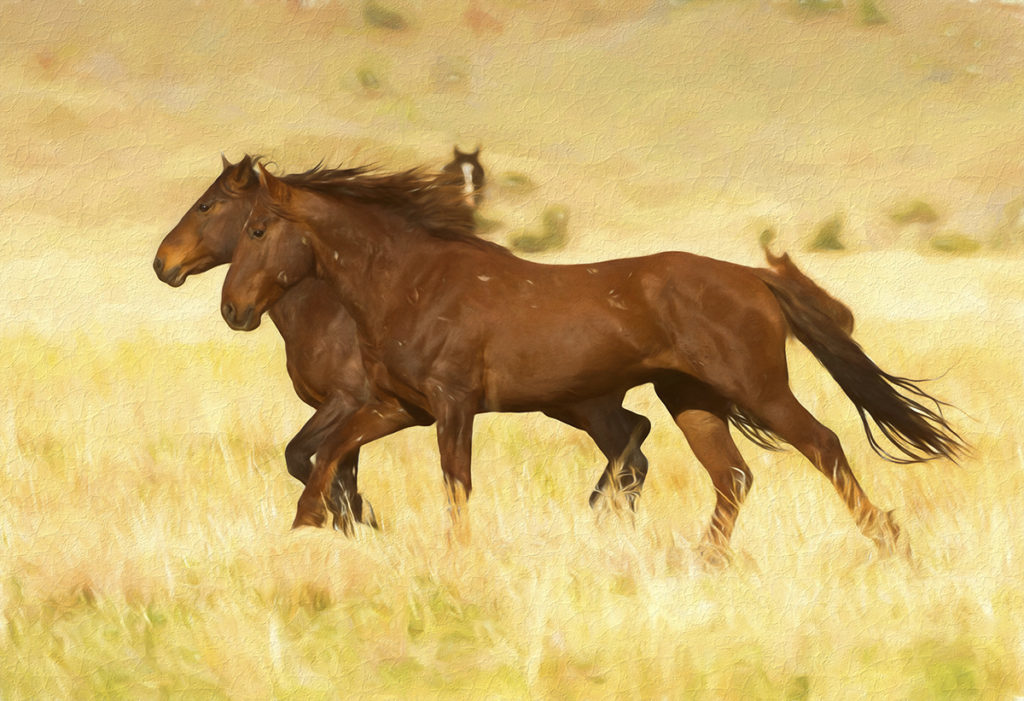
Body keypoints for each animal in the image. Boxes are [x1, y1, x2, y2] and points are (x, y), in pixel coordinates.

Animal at [151, 154, 651, 532]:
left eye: (206, 206)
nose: (161, 264)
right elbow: (331, 467)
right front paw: (352, 522)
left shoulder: (349, 401)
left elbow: (306, 459)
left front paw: (360, 519)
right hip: (572, 404)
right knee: (636, 441)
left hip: (583, 404)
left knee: (632, 450)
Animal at [220, 161, 962, 560]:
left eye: (257, 229)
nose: (233, 308)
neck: (412, 281)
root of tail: (756, 278)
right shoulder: (396, 405)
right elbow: (327, 453)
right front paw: (304, 531)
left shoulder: (453, 405)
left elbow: (454, 480)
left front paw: (455, 553)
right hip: (691, 400)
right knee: (733, 474)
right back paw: (704, 560)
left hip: (757, 388)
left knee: (822, 443)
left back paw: (889, 540)